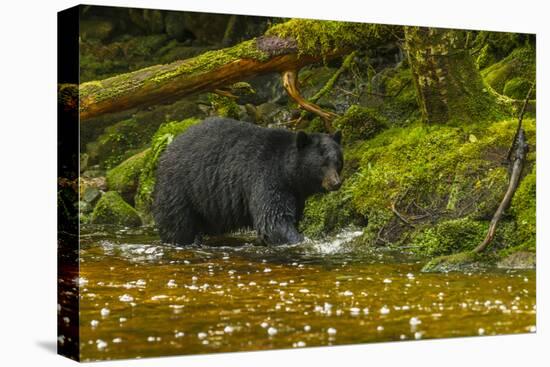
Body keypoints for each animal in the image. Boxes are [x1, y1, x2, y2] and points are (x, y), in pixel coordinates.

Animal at [155, 118, 342, 247]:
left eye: (338, 161)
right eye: (322, 164)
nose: (336, 183)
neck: (287, 173)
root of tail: (167, 150)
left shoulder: (296, 194)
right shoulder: (267, 179)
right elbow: (273, 220)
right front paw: (300, 239)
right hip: (180, 190)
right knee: (178, 225)